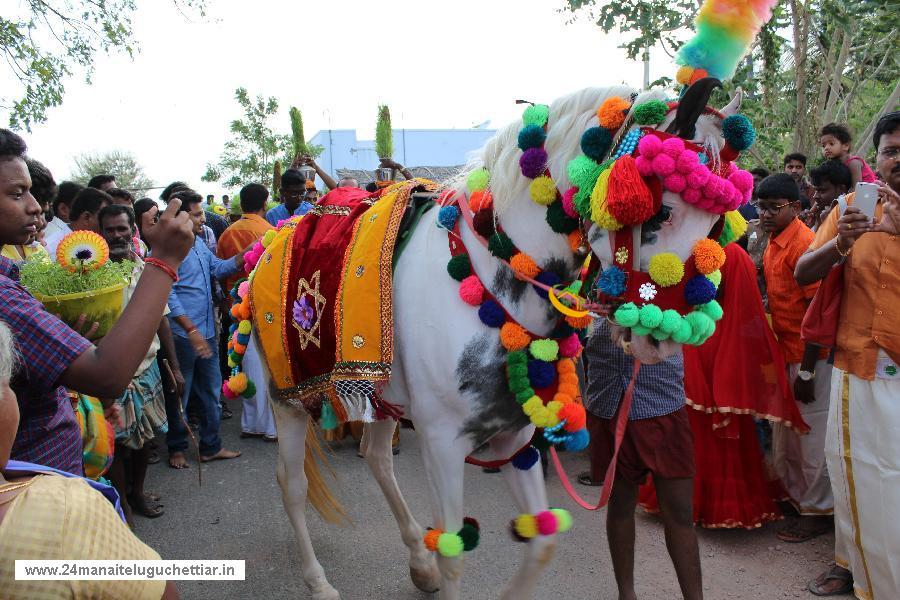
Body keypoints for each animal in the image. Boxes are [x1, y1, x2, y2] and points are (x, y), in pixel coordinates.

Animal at [221, 0, 776, 596]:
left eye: (717, 224)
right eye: (662, 208)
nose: (661, 338)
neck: (488, 281)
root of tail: (269, 243)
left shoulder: (518, 435)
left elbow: (542, 543)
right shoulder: (443, 443)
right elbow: (456, 557)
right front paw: (436, 564)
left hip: (379, 391)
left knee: (376, 458)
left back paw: (416, 559)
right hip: (289, 394)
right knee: (292, 484)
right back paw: (319, 579)